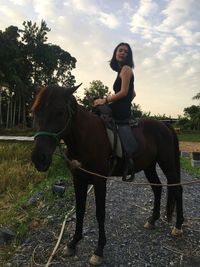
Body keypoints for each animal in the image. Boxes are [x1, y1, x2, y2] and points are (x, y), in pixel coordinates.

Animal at [31, 85, 184, 266]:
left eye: (60, 112)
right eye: (35, 112)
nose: (39, 158)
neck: (85, 137)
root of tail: (165, 125)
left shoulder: (99, 181)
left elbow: (100, 213)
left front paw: (99, 250)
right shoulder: (78, 179)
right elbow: (80, 210)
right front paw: (73, 243)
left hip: (167, 163)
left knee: (178, 189)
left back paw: (178, 226)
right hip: (149, 166)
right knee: (157, 188)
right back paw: (152, 220)